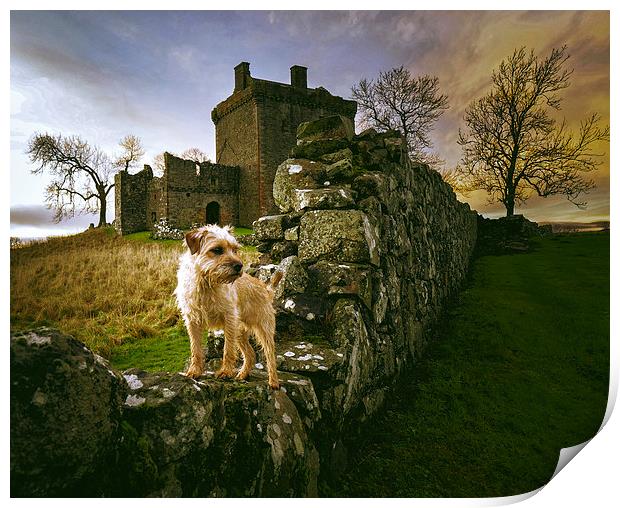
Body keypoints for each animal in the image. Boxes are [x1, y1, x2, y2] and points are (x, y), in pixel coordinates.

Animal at [173, 223, 282, 388]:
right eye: (217, 250)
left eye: (235, 249)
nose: (239, 266)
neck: (206, 283)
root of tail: (266, 289)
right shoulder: (192, 320)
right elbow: (195, 349)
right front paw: (194, 371)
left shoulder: (229, 318)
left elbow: (228, 349)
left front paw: (225, 372)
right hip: (241, 332)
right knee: (250, 354)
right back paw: (242, 375)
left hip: (264, 329)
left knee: (270, 356)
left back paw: (273, 381)